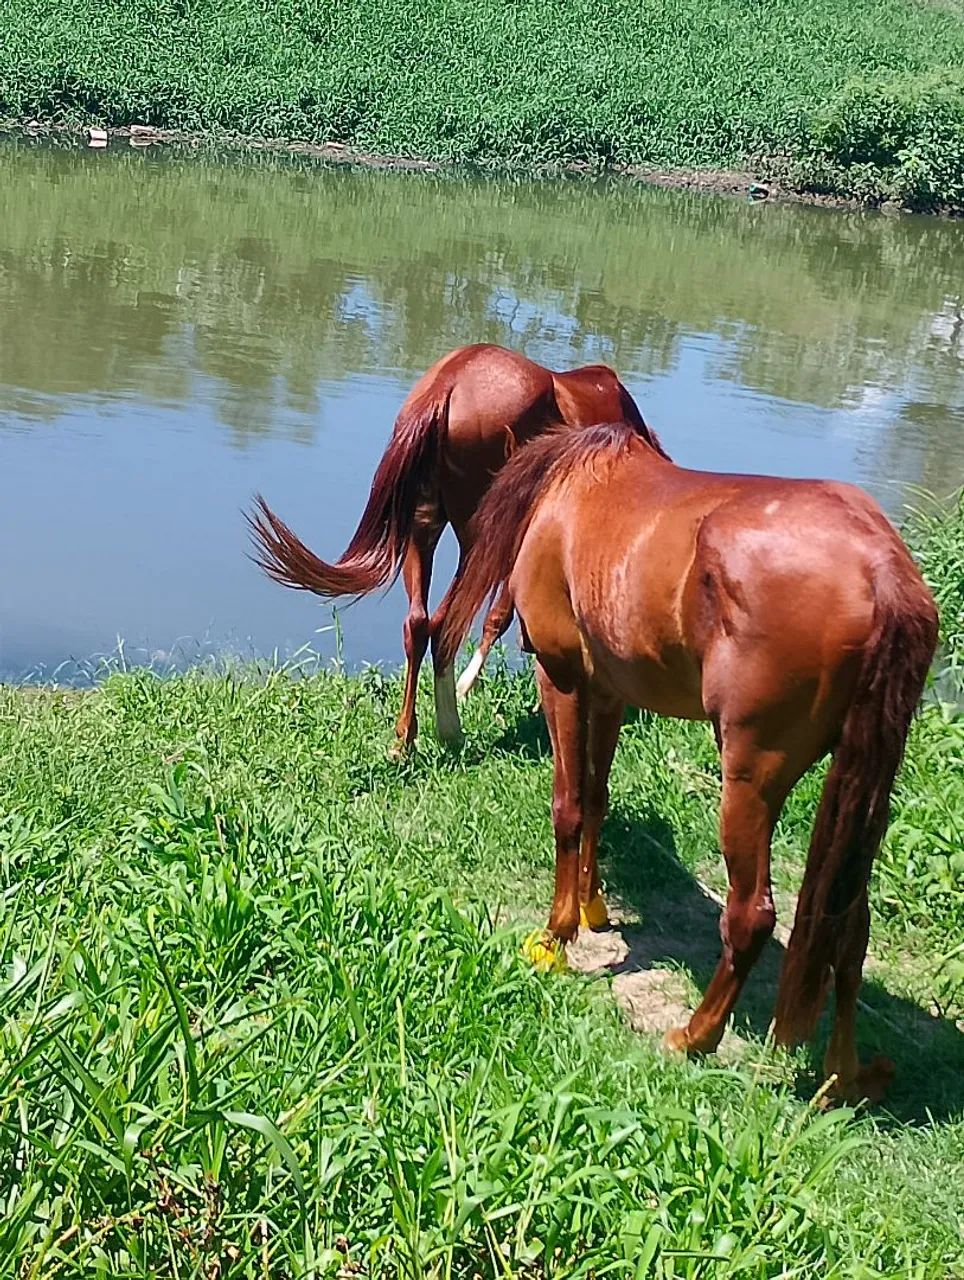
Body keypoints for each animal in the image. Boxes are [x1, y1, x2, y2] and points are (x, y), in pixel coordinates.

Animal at [248, 344, 665, 751]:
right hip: (474, 539)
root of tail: (445, 388)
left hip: (424, 527)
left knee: (418, 623)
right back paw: (450, 727)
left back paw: (406, 738)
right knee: (444, 625)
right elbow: (501, 614)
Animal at [436, 422, 938, 1103]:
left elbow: (569, 808)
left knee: (752, 916)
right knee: (848, 923)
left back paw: (695, 1037)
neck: (574, 489)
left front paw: (556, 936)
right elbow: (597, 797)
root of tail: (882, 569)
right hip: (862, 791)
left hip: (750, 780)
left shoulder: (562, 680)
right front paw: (592, 905)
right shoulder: (610, 692)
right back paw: (846, 1076)